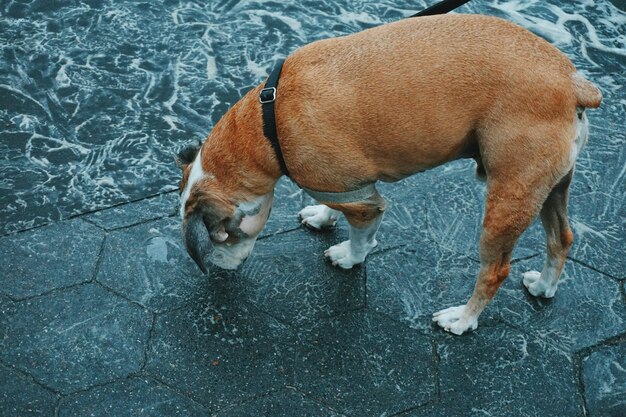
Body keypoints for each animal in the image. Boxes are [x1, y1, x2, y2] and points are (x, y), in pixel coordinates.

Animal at [174, 13, 600, 334]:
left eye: (222, 236)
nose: (216, 269)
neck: (266, 123)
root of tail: (572, 82)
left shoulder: (365, 203)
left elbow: (362, 235)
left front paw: (350, 256)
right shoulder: (342, 187)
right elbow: (333, 202)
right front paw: (323, 217)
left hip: (509, 199)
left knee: (495, 269)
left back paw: (463, 319)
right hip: (549, 188)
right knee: (561, 238)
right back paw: (544, 286)